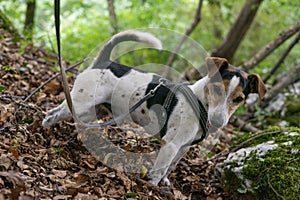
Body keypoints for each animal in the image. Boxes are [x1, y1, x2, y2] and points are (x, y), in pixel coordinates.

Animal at [42, 30, 268, 186]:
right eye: (217, 89)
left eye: (238, 99)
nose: (219, 121)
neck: (199, 102)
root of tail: (104, 61)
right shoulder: (171, 145)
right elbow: (160, 170)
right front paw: (153, 187)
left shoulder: (183, 147)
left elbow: (170, 168)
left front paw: (165, 183)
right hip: (81, 103)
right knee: (52, 113)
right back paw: (43, 130)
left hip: (95, 110)